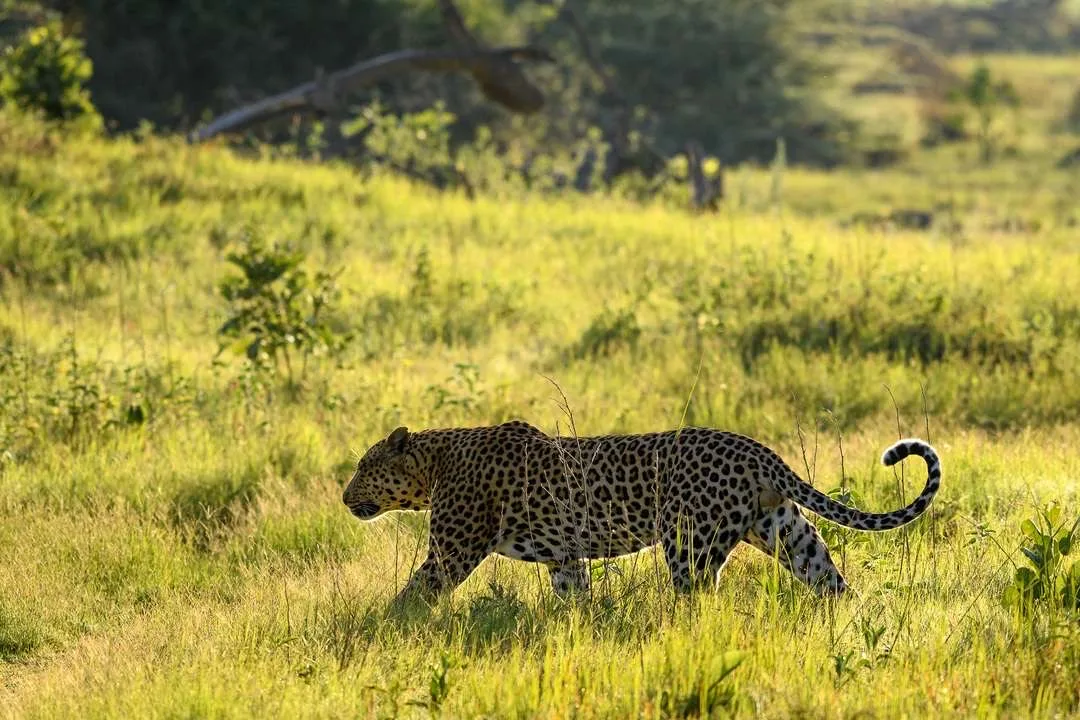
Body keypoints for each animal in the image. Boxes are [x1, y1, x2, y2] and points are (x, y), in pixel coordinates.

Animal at [341, 420, 942, 603]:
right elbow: (574, 598)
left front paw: (382, 632)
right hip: (784, 530)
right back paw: (850, 618)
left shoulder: (452, 551)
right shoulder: (565, 557)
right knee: (828, 575)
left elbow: (411, 598)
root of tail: (756, 449)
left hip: (690, 544)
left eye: (364, 465)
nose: (345, 497)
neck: (436, 462)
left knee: (698, 601)